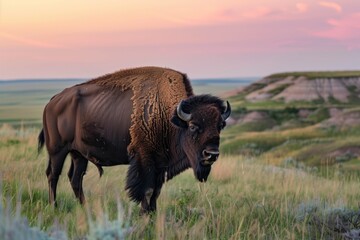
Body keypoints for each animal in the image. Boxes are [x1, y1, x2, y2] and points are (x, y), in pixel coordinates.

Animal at [38, 66, 232, 214]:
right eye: (192, 126)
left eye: (220, 125)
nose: (211, 154)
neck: (168, 117)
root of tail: (52, 102)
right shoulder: (144, 160)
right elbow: (147, 191)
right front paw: (144, 216)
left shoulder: (160, 166)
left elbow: (155, 193)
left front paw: (152, 215)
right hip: (57, 150)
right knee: (53, 175)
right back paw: (54, 207)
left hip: (78, 154)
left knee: (75, 178)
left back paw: (85, 208)